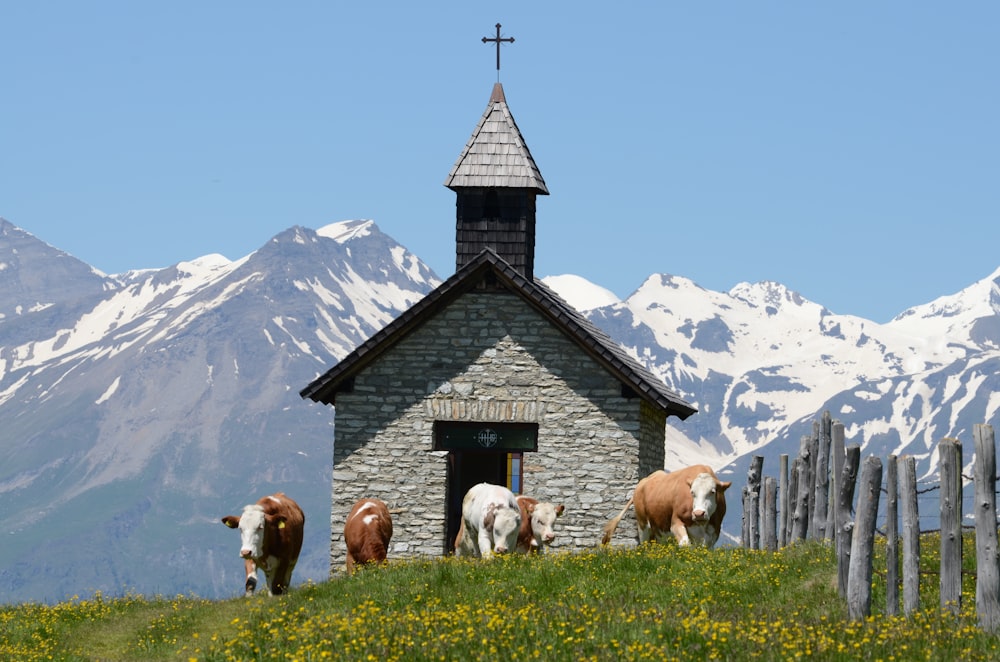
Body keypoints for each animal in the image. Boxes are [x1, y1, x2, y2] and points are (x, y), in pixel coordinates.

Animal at [596, 464, 732, 552]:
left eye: (712, 492)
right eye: (692, 492)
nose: (698, 513)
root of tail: (643, 482)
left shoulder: (715, 530)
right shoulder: (676, 522)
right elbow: (685, 545)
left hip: (658, 529)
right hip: (643, 524)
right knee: (644, 544)